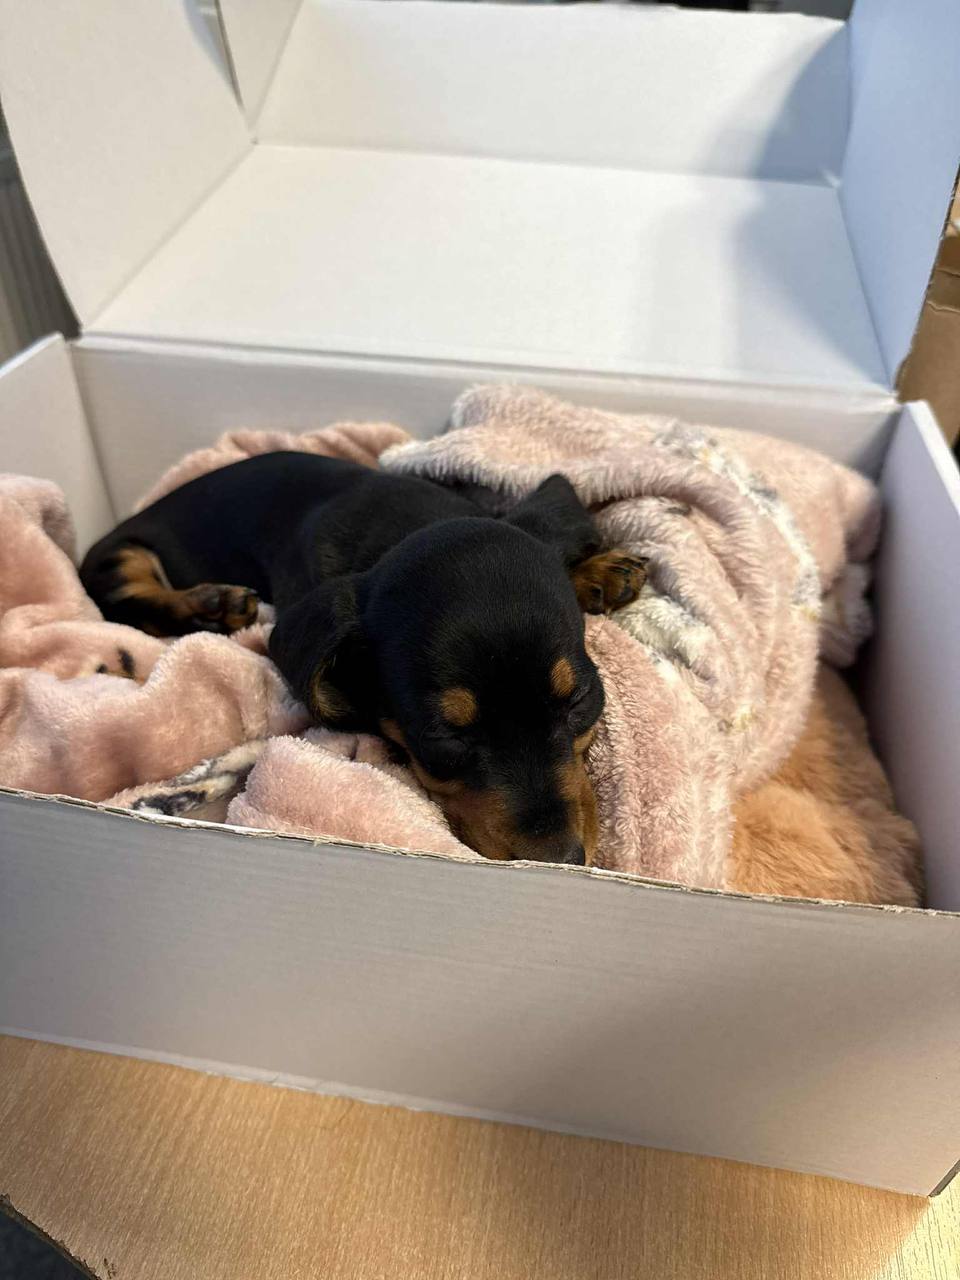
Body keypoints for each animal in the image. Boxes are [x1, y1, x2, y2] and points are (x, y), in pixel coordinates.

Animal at [80, 452, 645, 865]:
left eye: (580, 702)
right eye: (443, 738)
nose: (561, 861)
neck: (403, 525)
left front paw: (600, 570)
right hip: (120, 559)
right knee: (132, 597)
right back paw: (213, 604)